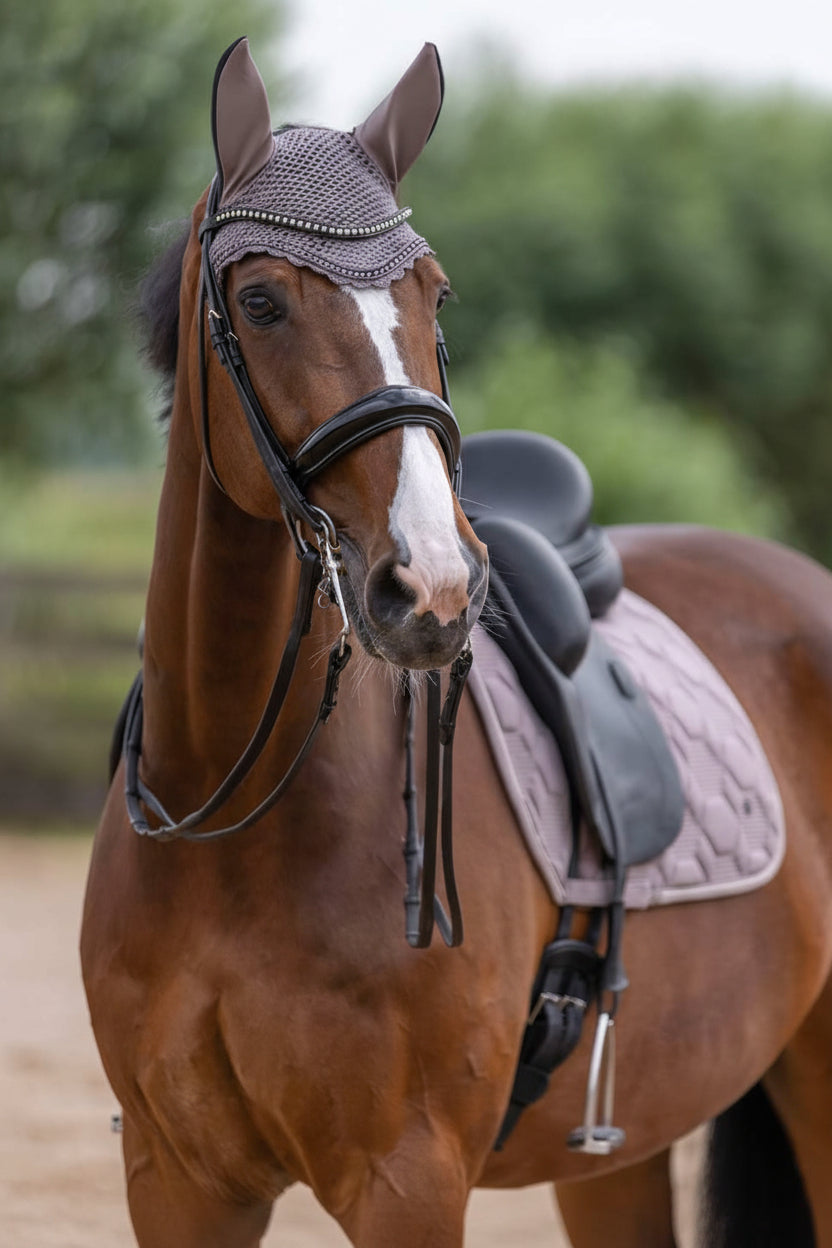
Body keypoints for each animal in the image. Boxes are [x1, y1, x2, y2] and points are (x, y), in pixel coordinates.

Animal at [81, 38, 832, 1248]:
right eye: (260, 300)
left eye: (434, 292)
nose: (430, 589)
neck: (232, 824)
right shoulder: (176, 1179)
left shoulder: (409, 1182)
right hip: (613, 1149)